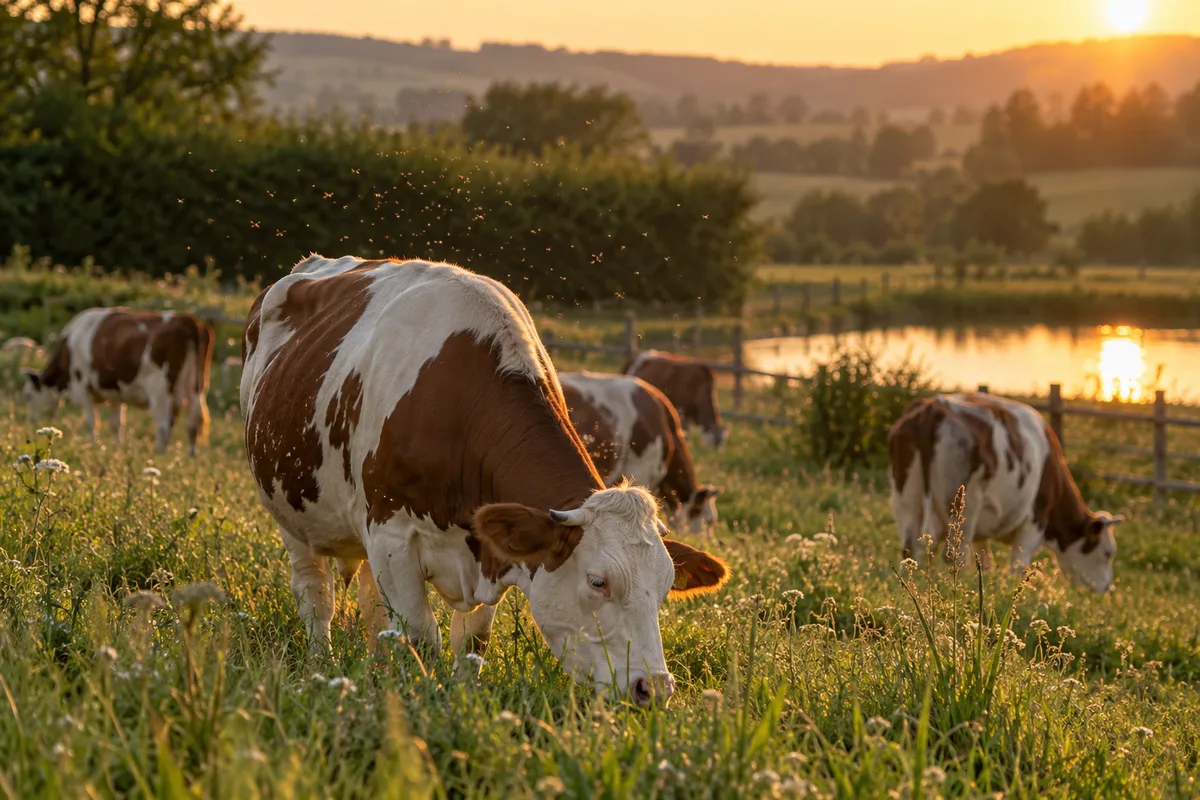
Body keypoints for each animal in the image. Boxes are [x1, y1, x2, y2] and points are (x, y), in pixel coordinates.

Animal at [22, 308, 213, 456]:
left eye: (29, 395)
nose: (30, 422)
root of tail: (187, 319)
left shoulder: (83, 387)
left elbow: (91, 423)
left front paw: (93, 445)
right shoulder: (115, 393)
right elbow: (116, 424)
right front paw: (116, 447)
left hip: (160, 389)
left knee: (165, 425)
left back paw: (159, 454)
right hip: (197, 386)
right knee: (194, 422)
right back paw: (191, 455)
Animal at [887, 393, 1122, 593]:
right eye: (1108, 553)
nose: (1109, 588)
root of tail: (935, 406)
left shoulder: (982, 533)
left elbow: (986, 561)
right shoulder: (1035, 522)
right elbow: (1018, 567)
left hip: (907, 497)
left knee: (910, 550)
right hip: (965, 507)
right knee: (953, 556)